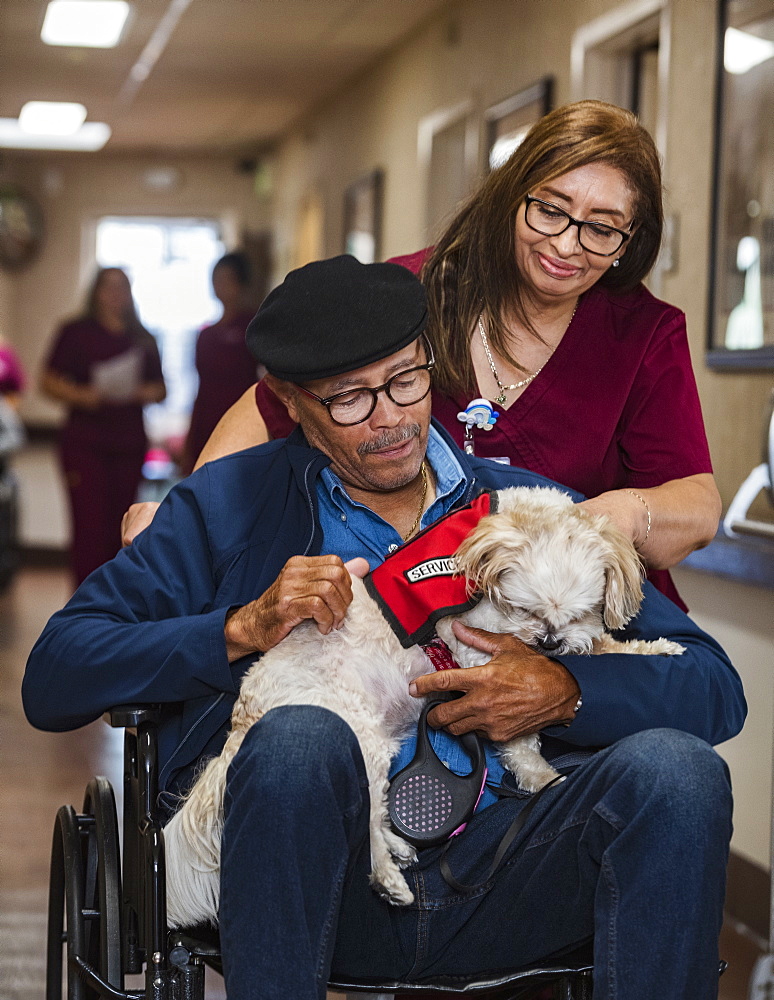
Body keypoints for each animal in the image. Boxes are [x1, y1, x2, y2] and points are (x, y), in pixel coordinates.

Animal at [165, 488, 684, 924]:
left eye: (580, 612)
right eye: (525, 610)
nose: (550, 642)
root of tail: (243, 717)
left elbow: (603, 647)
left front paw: (655, 649)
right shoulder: (473, 648)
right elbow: (520, 735)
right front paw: (539, 774)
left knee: (376, 808)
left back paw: (398, 846)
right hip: (356, 733)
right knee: (368, 817)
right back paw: (387, 877)